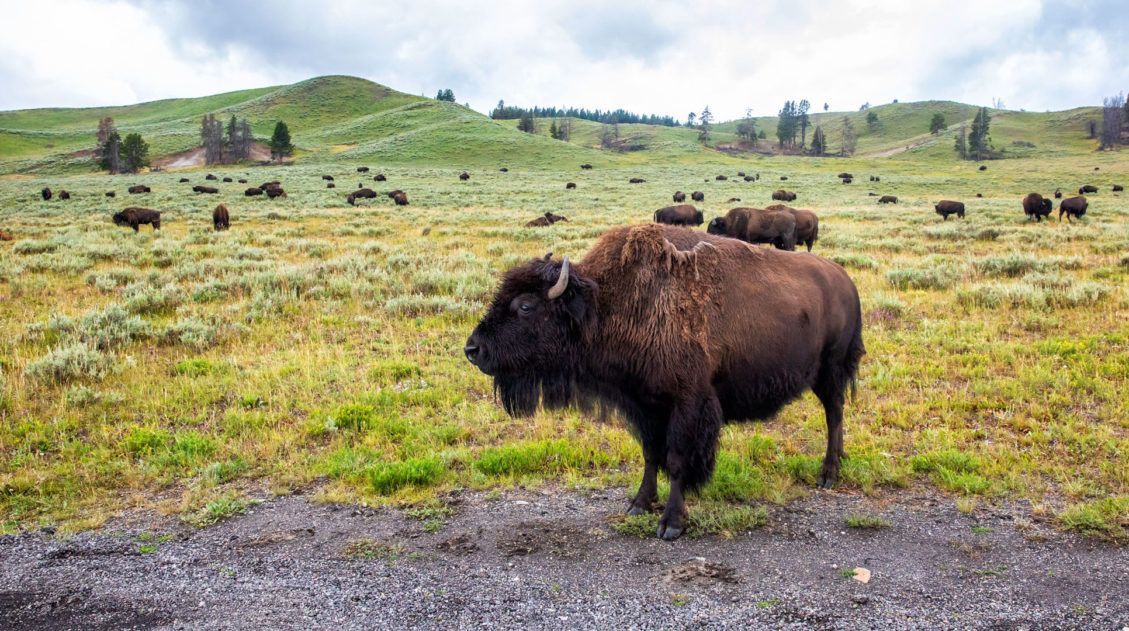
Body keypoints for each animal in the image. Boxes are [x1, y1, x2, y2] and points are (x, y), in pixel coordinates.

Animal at [465, 224, 862, 541]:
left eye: (525, 306)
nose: (473, 349)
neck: (607, 303)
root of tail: (845, 281)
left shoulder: (686, 403)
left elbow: (676, 458)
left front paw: (671, 524)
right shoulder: (644, 405)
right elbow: (650, 454)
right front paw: (639, 504)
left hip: (830, 372)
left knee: (834, 414)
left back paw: (828, 474)